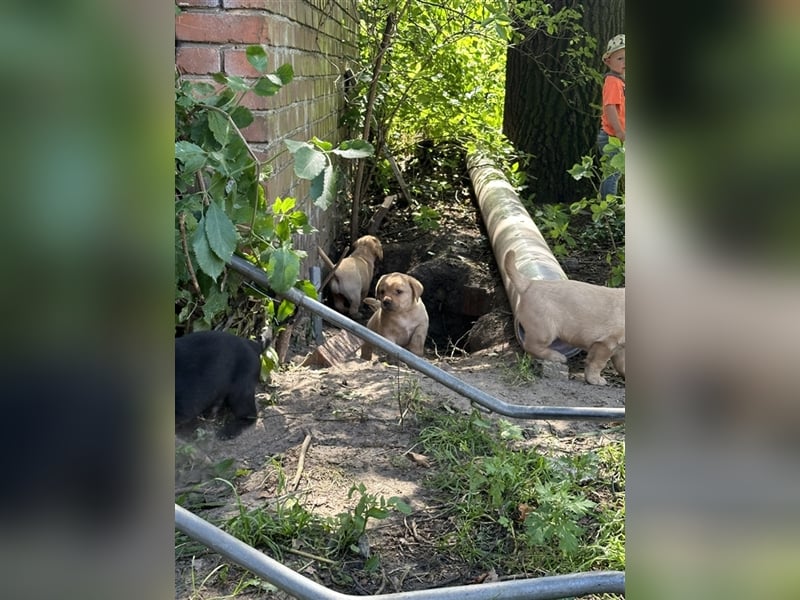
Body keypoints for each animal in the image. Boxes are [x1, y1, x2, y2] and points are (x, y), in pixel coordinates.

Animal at [506, 248, 624, 384]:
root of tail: (530, 283)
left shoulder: (620, 349)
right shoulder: (605, 343)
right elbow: (597, 364)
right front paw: (595, 379)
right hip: (545, 331)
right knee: (531, 346)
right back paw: (556, 356)